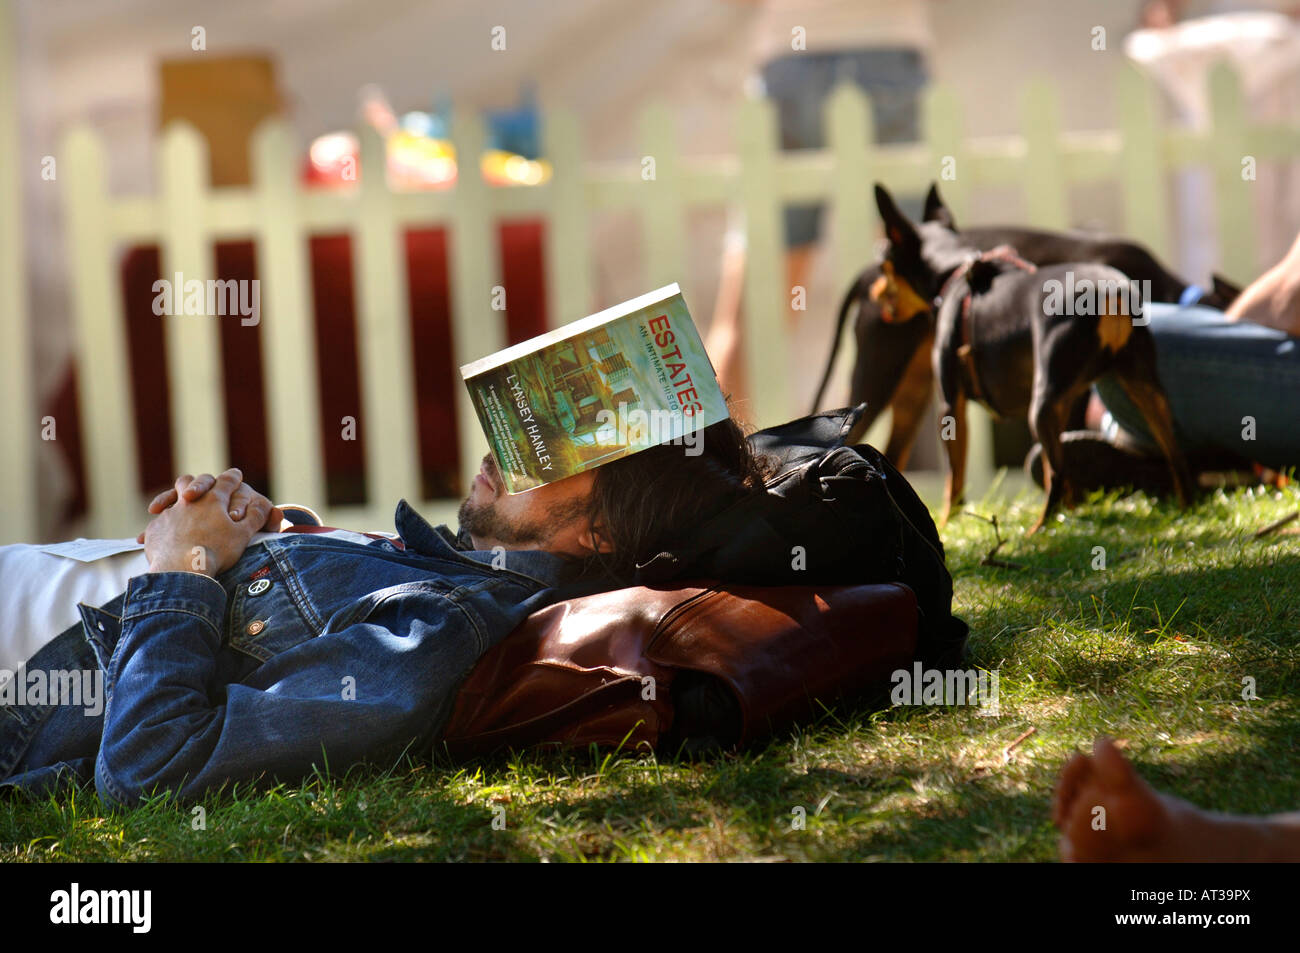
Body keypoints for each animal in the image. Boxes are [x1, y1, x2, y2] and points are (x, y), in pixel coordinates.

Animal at [868, 184, 1190, 527]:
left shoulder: (950, 406)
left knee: (1059, 476)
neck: (953, 270)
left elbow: (953, 481)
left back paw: (1039, 528)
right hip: (1143, 390)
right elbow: (1051, 470)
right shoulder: (1065, 405)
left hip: (1042, 407)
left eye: (884, 266)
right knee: (1174, 454)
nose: (874, 292)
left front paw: (946, 523)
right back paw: (1184, 510)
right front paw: (1071, 516)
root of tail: (1109, 293)